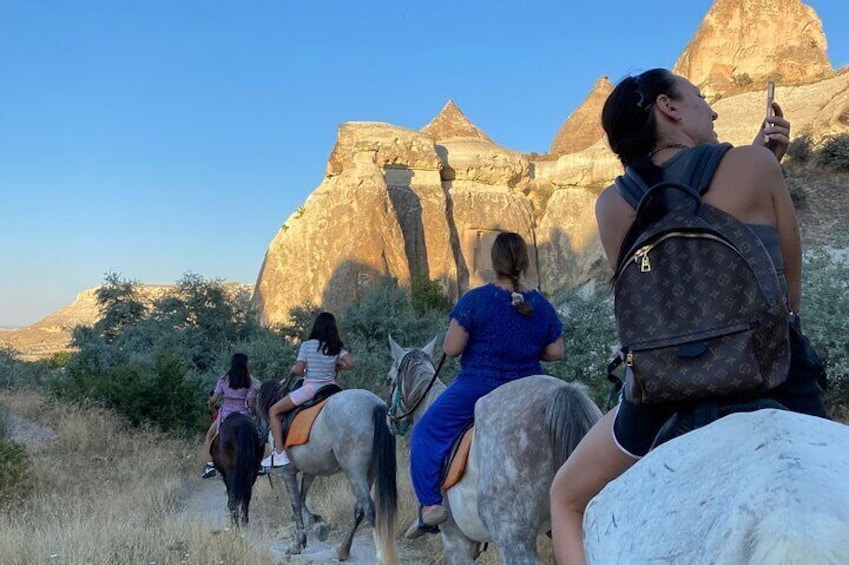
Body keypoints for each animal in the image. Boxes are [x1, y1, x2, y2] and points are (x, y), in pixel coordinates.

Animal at [255, 382, 398, 560]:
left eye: (254, 403)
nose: (259, 431)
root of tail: (375, 406)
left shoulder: (287, 472)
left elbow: (295, 503)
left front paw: (298, 542)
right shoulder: (311, 470)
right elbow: (301, 499)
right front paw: (317, 525)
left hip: (354, 471)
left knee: (370, 510)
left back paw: (382, 555)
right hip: (370, 471)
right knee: (360, 509)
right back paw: (344, 549)